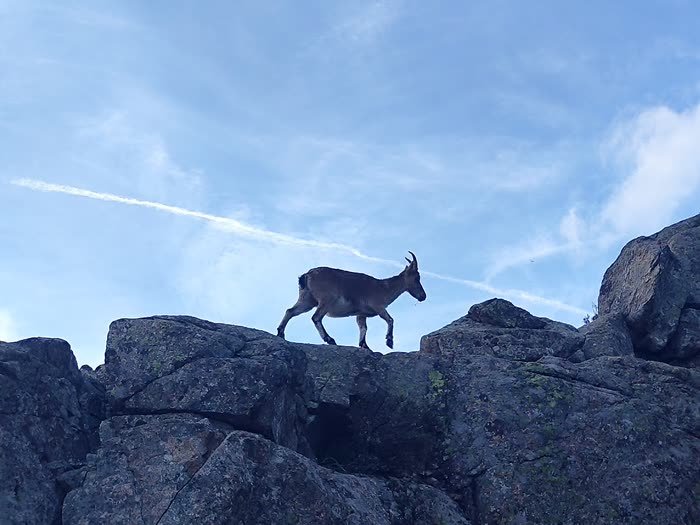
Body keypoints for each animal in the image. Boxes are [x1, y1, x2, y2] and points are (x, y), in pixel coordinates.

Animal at [276, 252, 426, 349]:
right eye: (416, 277)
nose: (423, 296)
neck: (384, 287)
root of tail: (307, 275)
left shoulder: (361, 314)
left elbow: (363, 327)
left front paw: (365, 346)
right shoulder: (378, 306)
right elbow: (390, 319)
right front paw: (389, 342)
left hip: (307, 300)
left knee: (290, 311)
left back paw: (281, 333)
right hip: (326, 300)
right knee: (316, 317)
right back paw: (330, 339)